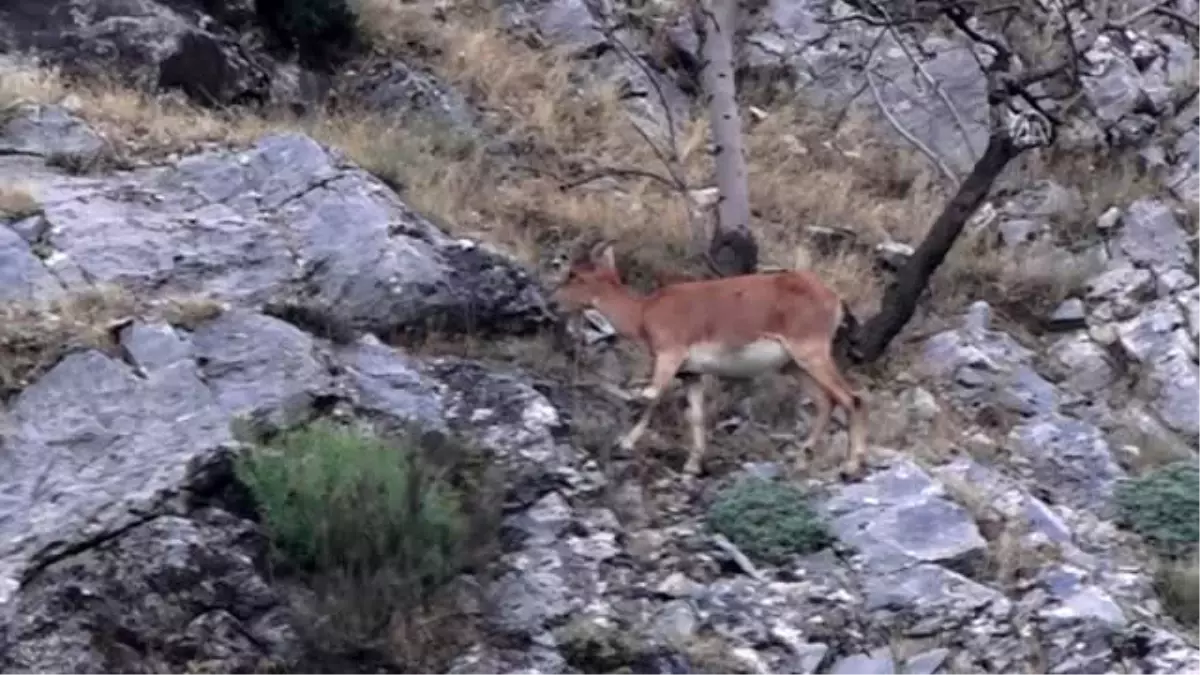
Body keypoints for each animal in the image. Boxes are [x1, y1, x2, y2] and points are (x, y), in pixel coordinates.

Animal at [549, 239, 868, 475]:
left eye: (575, 275)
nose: (553, 301)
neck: (643, 313)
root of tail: (834, 299)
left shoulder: (669, 356)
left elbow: (650, 398)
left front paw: (624, 444)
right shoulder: (691, 373)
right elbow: (697, 415)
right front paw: (692, 466)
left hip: (811, 352)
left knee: (850, 398)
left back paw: (850, 466)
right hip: (794, 366)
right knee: (826, 401)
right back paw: (802, 456)